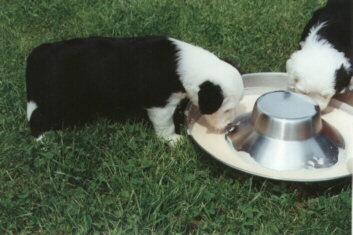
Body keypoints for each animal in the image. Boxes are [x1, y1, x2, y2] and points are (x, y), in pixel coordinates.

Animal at [26, 35, 243, 145]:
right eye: (226, 109)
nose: (230, 125)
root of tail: (39, 53)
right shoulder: (159, 103)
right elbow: (165, 124)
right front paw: (172, 140)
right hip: (57, 98)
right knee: (37, 117)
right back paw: (43, 139)